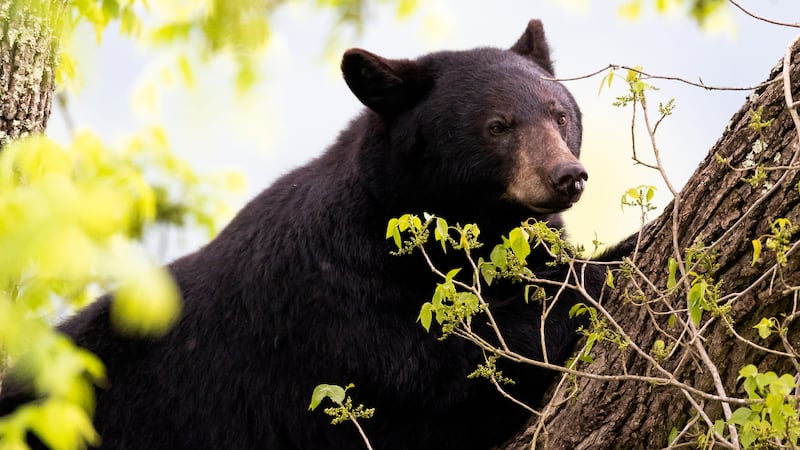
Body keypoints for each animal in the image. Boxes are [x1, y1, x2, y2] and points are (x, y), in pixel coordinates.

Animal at [1, 20, 612, 450]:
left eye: (560, 114)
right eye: (497, 126)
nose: (567, 176)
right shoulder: (336, 295)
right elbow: (447, 370)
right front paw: (609, 267)